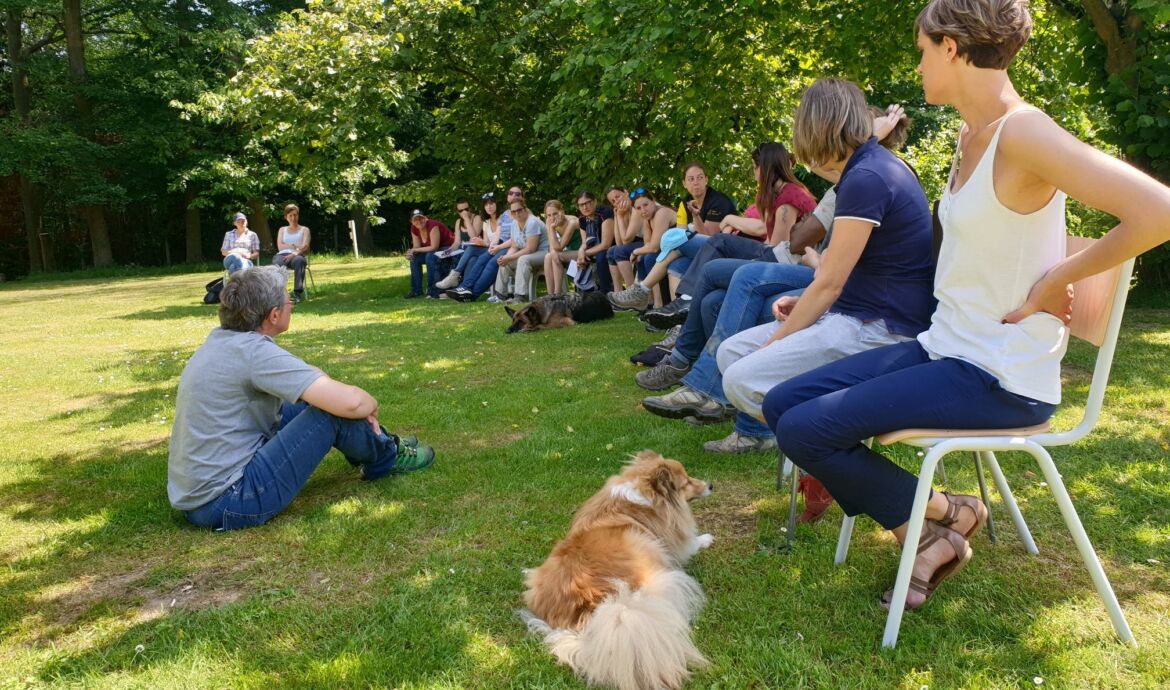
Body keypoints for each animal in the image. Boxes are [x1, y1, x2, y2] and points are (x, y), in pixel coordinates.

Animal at [521, 451, 711, 690]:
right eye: (686, 482)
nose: (711, 485)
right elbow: (691, 543)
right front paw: (706, 538)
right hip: (648, 552)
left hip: (533, 580)